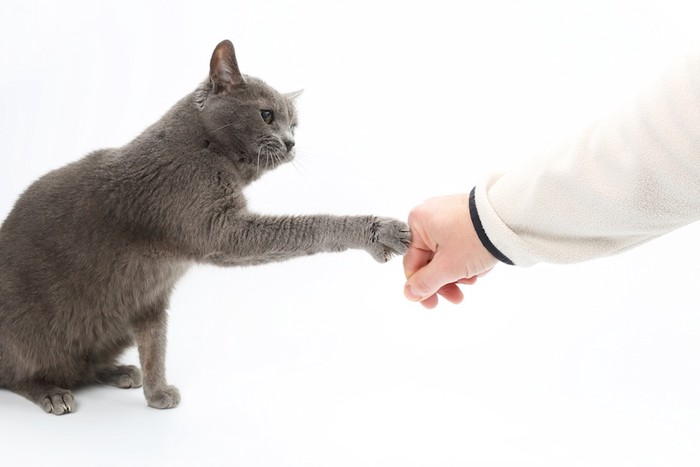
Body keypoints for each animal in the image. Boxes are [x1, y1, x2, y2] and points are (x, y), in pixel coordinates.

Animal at [0, 41, 410, 416]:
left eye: (294, 124)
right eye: (266, 115)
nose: (292, 142)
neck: (207, 147)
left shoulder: (151, 295)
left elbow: (156, 344)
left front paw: (157, 394)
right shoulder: (219, 230)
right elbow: (313, 226)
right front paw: (379, 231)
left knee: (83, 365)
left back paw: (118, 371)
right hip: (26, 332)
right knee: (17, 374)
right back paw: (52, 392)